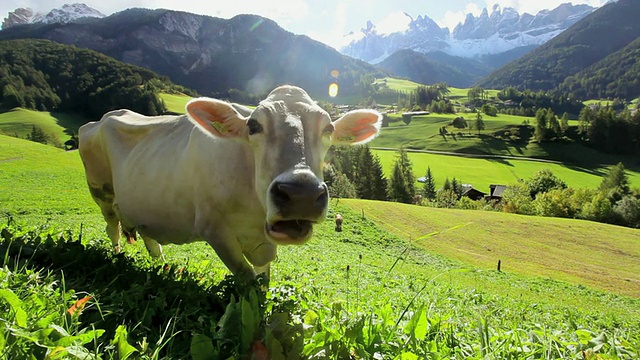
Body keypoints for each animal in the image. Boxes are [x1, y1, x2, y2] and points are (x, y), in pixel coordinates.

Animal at [79, 85, 380, 278]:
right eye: (253, 126)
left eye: (328, 128)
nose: (301, 194)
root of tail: (102, 118)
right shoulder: (215, 230)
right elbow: (247, 280)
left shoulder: (263, 244)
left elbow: (263, 278)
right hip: (100, 192)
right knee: (112, 229)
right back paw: (117, 257)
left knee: (147, 234)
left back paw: (160, 264)